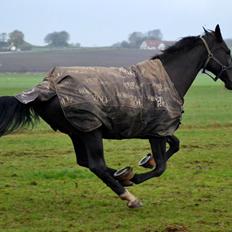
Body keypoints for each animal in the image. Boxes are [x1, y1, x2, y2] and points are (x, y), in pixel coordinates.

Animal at [0, 24, 232, 208]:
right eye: (227, 50)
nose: (231, 80)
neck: (168, 78)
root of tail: (43, 89)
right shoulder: (156, 132)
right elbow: (161, 167)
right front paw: (138, 175)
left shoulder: (158, 128)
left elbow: (175, 145)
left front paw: (144, 162)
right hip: (90, 131)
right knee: (96, 165)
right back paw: (129, 194)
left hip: (78, 132)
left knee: (85, 162)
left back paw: (123, 175)